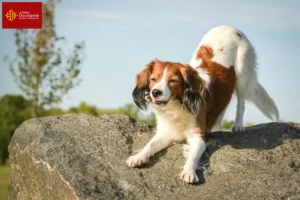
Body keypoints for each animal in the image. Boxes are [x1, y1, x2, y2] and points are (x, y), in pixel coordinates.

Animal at [125, 25, 278, 184]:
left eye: (172, 81)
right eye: (153, 79)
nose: (155, 92)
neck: (177, 107)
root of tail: (229, 27)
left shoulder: (198, 136)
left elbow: (193, 155)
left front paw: (189, 171)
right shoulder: (165, 133)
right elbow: (150, 145)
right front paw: (138, 157)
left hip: (242, 75)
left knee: (240, 103)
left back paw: (238, 125)